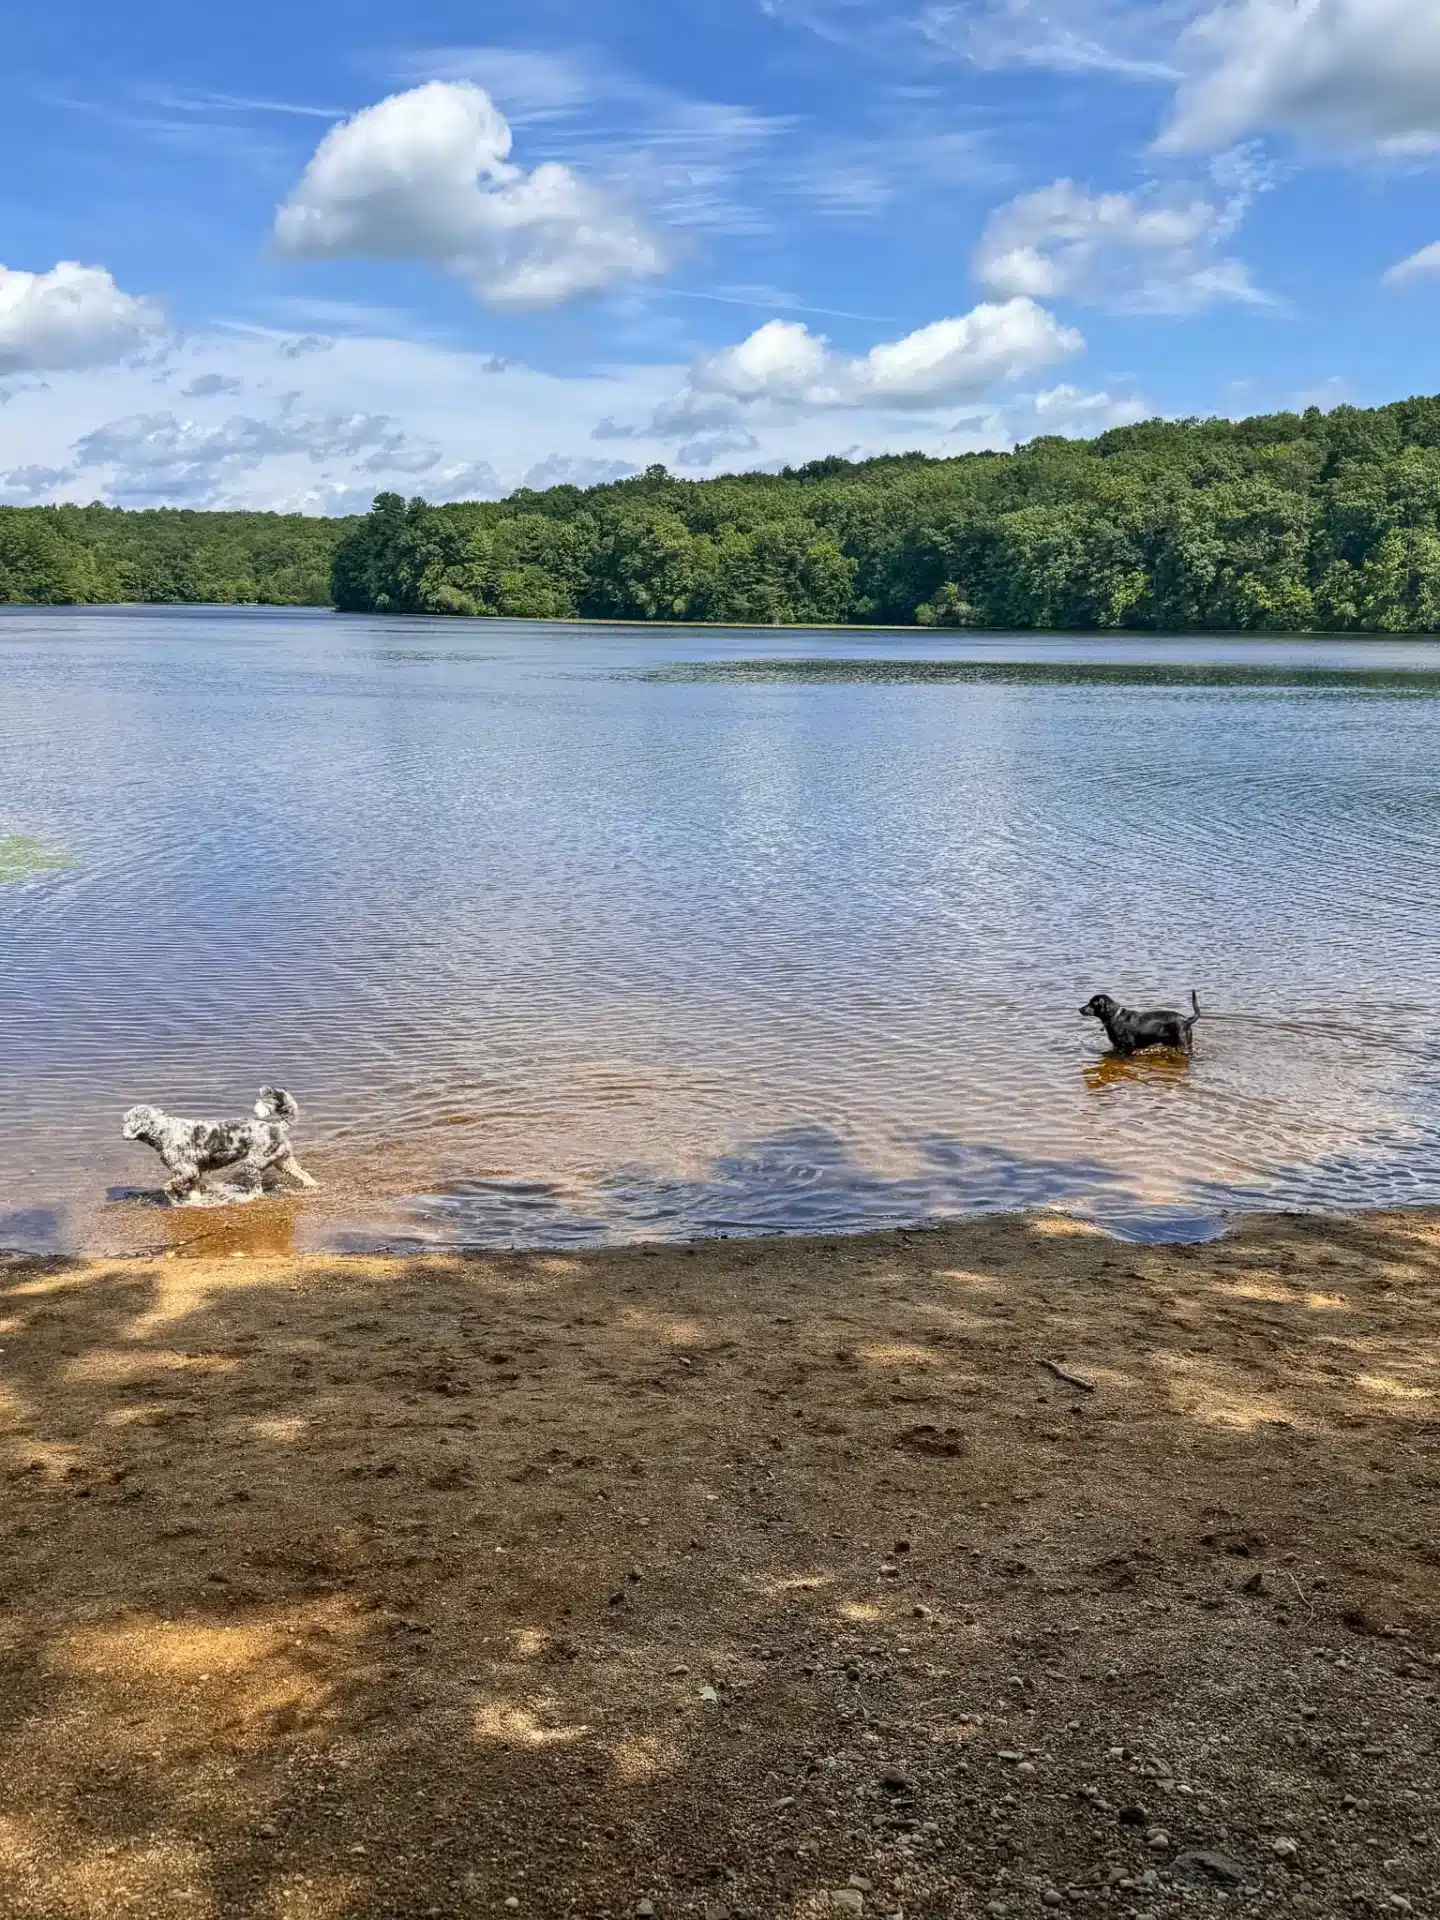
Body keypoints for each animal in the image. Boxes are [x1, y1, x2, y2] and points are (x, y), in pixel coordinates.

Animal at [121, 1090, 320, 1205]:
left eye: (126, 1120)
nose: (121, 1131)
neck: (163, 1131)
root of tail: (277, 1126)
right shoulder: (195, 1173)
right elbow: (194, 1193)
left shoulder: (186, 1170)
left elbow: (169, 1185)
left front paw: (174, 1195)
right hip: (283, 1162)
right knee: (306, 1176)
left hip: (253, 1164)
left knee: (257, 1190)